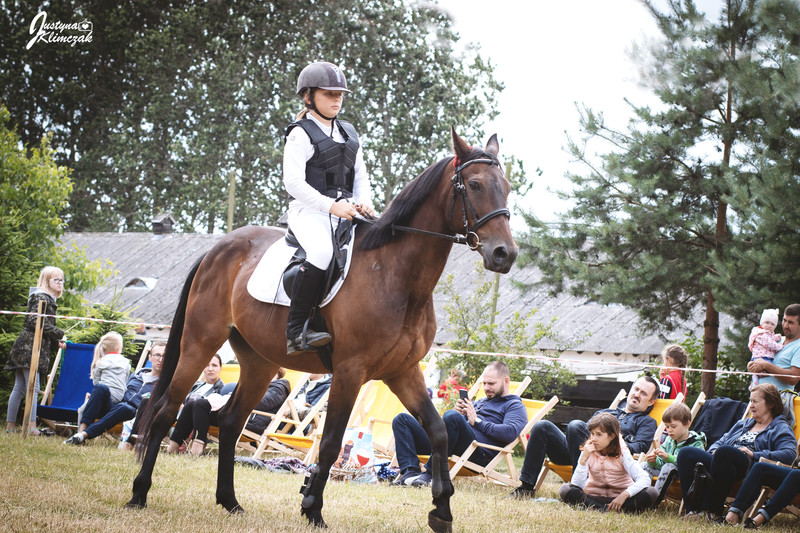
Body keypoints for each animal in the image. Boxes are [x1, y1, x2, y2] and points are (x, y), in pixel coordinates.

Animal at [128, 127, 516, 528]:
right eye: (474, 185)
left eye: (506, 187)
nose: (504, 254)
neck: (396, 276)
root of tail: (216, 250)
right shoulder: (349, 371)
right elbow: (329, 443)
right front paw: (312, 506)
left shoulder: (403, 371)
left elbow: (438, 433)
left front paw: (441, 510)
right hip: (199, 344)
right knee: (166, 411)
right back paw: (140, 493)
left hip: (259, 362)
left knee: (232, 422)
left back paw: (230, 501)